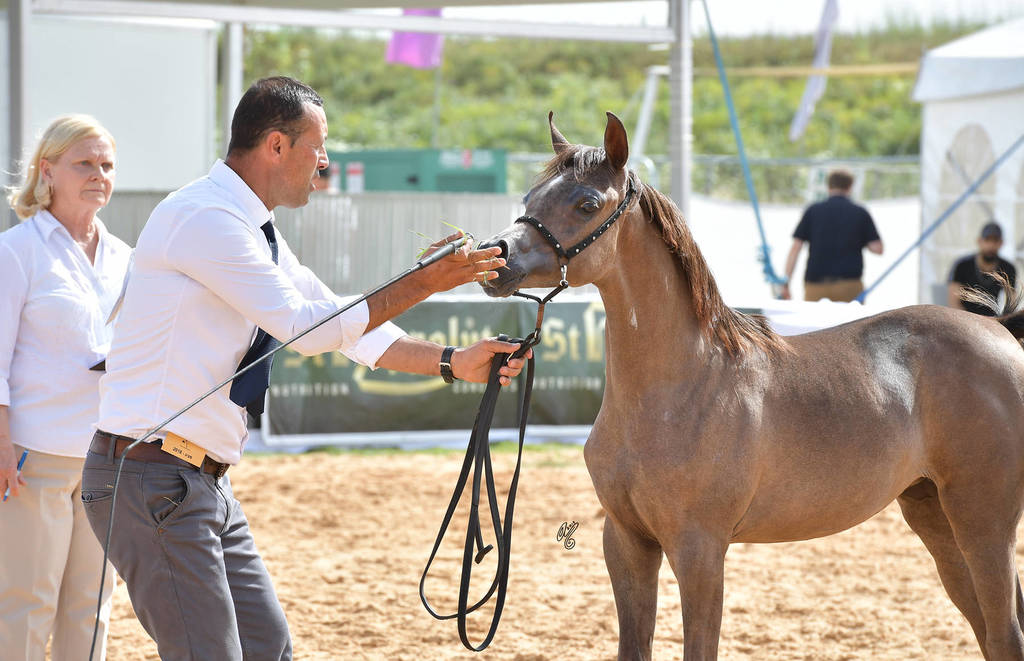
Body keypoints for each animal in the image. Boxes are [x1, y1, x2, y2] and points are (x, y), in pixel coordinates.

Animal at [477, 111, 1024, 660]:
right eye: (531, 196)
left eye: (587, 203)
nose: (494, 256)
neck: (680, 388)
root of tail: (1002, 333)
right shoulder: (627, 542)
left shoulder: (699, 548)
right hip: (936, 517)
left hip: (984, 522)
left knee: (1005, 631)